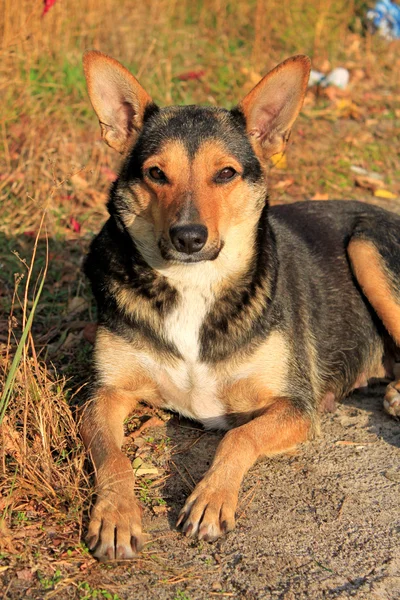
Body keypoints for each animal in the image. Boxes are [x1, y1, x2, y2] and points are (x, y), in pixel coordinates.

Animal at [80, 51, 400, 564]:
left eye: (226, 173)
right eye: (156, 173)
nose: (188, 237)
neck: (194, 284)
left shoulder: (295, 406)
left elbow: (237, 436)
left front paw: (211, 499)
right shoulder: (102, 394)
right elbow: (113, 456)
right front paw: (115, 516)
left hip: (367, 244)